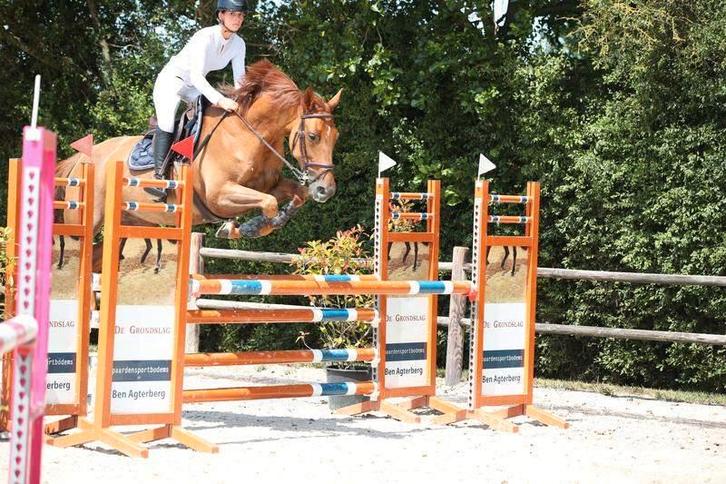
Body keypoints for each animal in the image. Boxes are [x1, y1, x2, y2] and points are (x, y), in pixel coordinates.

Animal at [55, 60, 342, 245]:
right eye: (313, 136)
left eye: (336, 137)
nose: (326, 191)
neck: (250, 135)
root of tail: (82, 158)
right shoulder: (219, 195)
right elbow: (269, 203)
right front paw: (247, 227)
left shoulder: (269, 185)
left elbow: (297, 194)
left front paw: (254, 225)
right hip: (81, 221)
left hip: (131, 220)